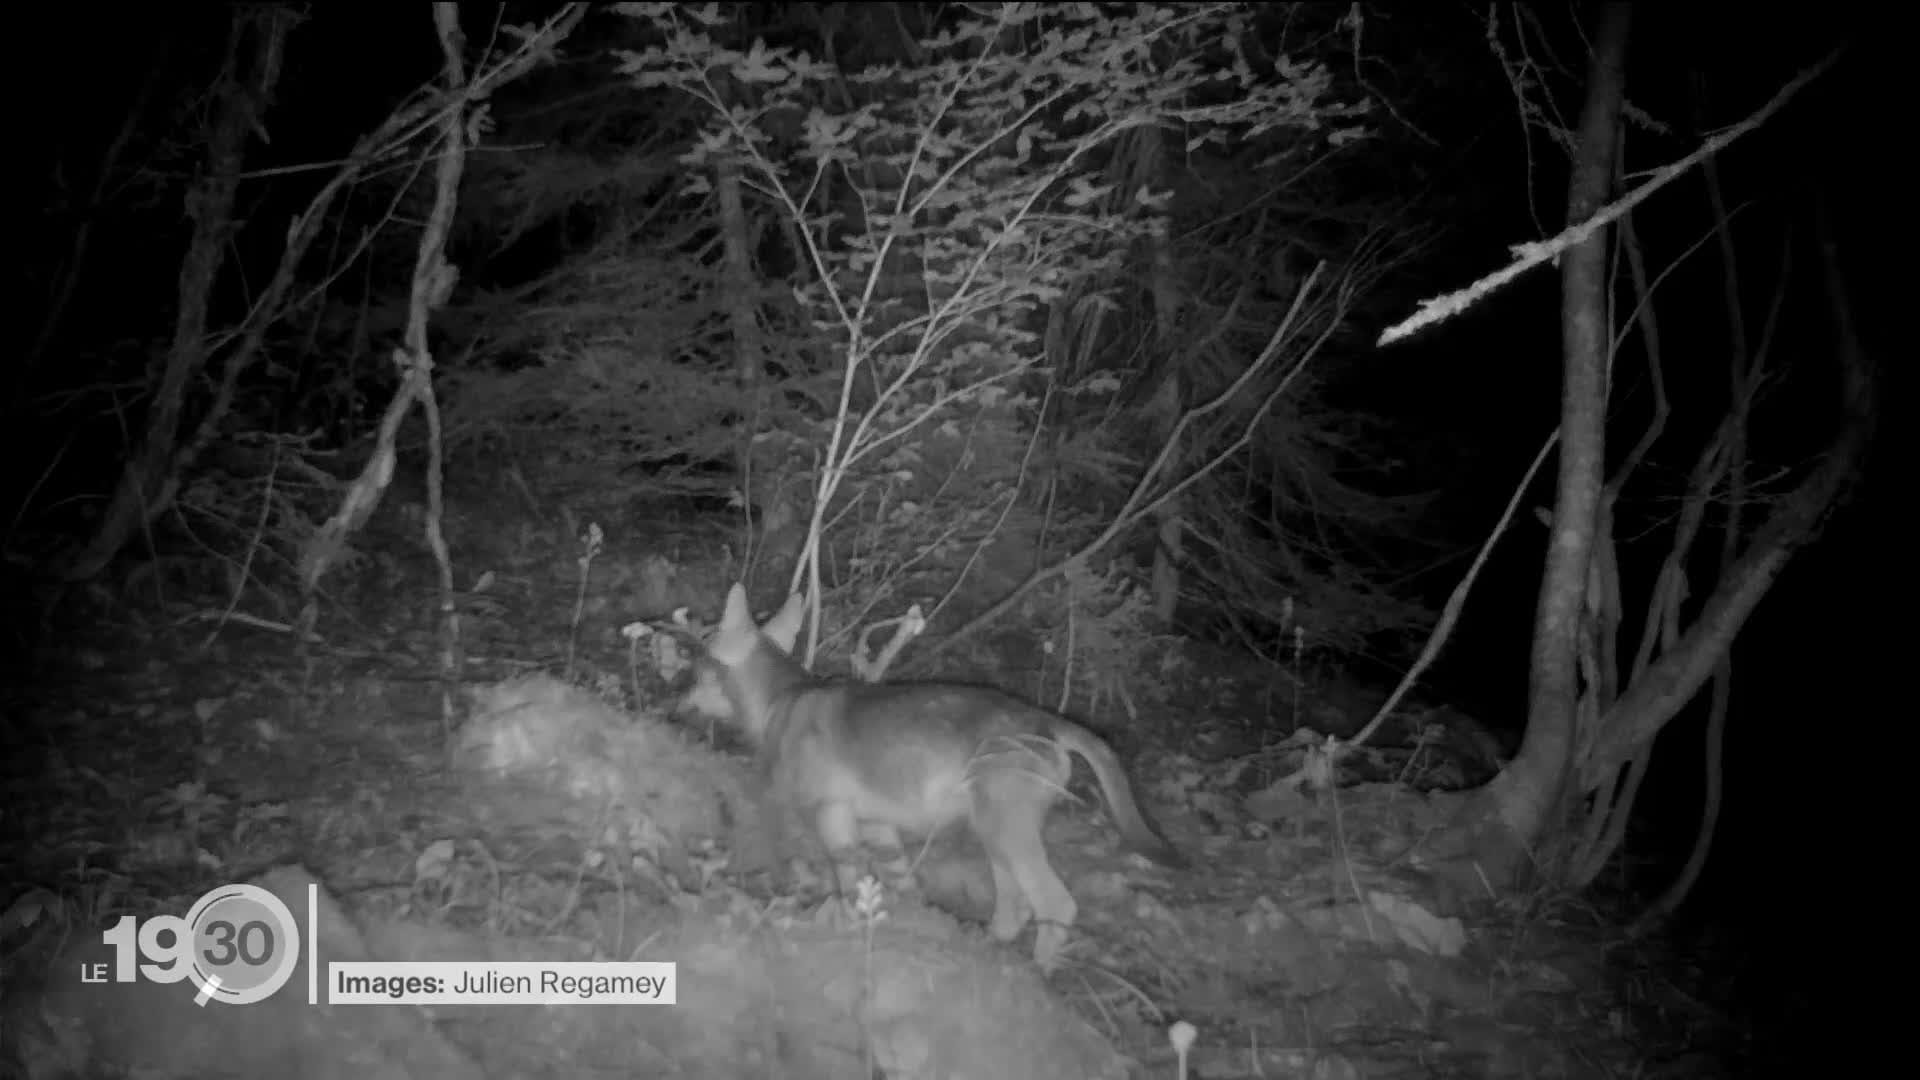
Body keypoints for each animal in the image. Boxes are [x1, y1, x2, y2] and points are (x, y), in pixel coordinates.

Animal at [675, 584, 1182, 972]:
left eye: (696, 670)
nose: (675, 698)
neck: (782, 700)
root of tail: (1050, 721)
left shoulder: (831, 815)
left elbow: (843, 881)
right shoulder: (878, 825)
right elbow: (903, 886)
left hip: (1005, 831)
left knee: (1055, 905)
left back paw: (1036, 973)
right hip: (995, 834)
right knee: (1015, 908)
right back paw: (988, 948)